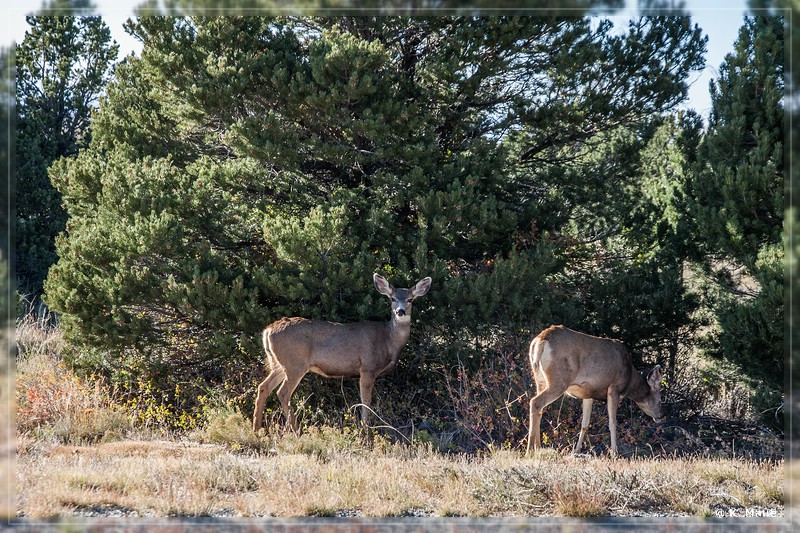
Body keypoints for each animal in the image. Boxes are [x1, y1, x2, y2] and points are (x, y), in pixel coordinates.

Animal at [255, 274, 432, 432]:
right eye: (392, 299)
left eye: (410, 300)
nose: (400, 311)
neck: (388, 340)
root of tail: (268, 331)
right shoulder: (367, 368)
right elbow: (366, 402)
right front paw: (365, 431)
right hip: (295, 364)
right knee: (283, 393)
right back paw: (296, 430)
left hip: (279, 363)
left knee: (263, 387)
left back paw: (257, 429)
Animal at [524, 322, 664, 456]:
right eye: (659, 399)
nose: (661, 416)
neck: (629, 379)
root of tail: (540, 341)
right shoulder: (614, 388)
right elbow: (613, 423)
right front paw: (614, 453)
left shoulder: (588, 393)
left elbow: (585, 424)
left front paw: (577, 450)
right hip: (559, 380)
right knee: (535, 402)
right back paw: (529, 450)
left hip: (540, 380)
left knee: (539, 408)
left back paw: (538, 448)